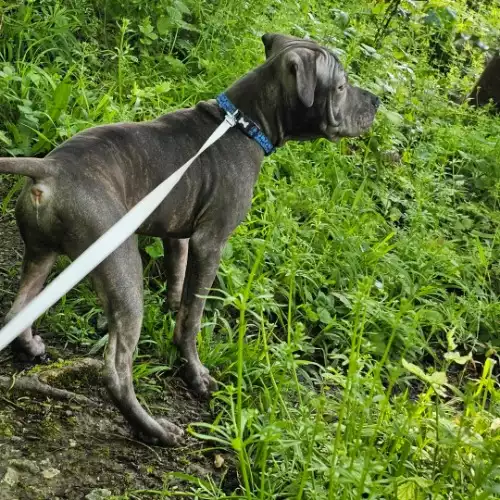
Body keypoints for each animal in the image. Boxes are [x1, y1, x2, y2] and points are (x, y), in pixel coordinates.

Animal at [0, 32, 378, 446]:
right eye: (340, 87)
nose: (377, 102)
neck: (243, 124)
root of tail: (49, 168)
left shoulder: (177, 236)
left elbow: (178, 281)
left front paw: (171, 307)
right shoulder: (210, 244)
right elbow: (192, 317)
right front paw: (195, 373)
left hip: (41, 252)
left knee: (17, 311)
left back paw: (30, 345)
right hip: (122, 267)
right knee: (116, 370)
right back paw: (154, 430)